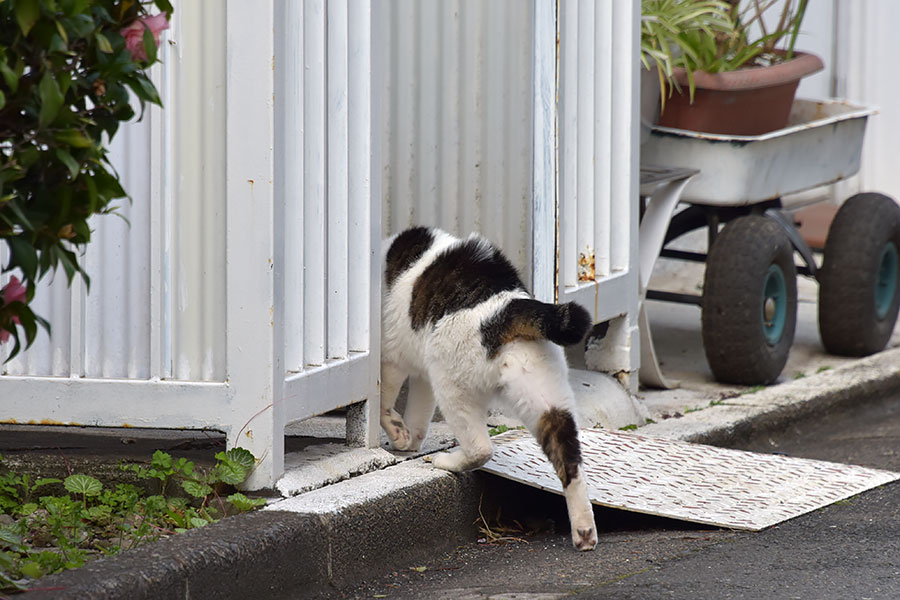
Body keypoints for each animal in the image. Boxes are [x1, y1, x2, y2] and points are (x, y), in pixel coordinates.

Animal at [380, 227, 596, 552]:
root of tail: (507, 307)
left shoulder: (393, 355)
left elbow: (383, 401)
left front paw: (396, 433)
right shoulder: (421, 371)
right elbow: (418, 415)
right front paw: (408, 442)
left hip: (451, 384)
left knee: (481, 448)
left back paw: (448, 461)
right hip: (545, 397)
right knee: (571, 464)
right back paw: (584, 532)